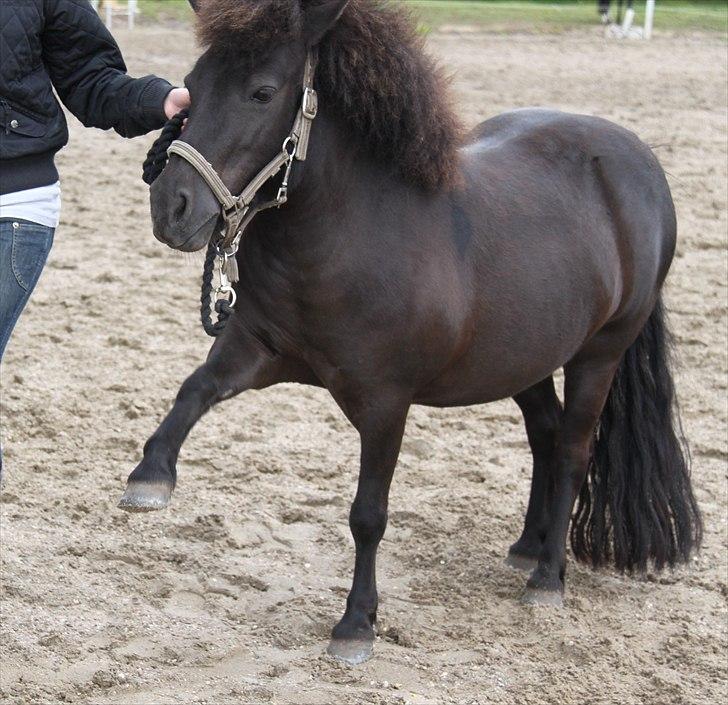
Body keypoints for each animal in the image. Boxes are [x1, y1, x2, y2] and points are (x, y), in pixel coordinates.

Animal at [119, 0, 700, 664]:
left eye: (262, 92)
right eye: (193, 84)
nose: (172, 208)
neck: (349, 232)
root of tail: (640, 163)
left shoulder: (384, 403)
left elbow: (368, 513)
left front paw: (356, 623)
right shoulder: (258, 350)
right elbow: (195, 390)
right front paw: (151, 477)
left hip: (598, 355)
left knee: (575, 449)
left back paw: (547, 576)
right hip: (520, 358)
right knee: (546, 437)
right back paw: (526, 546)